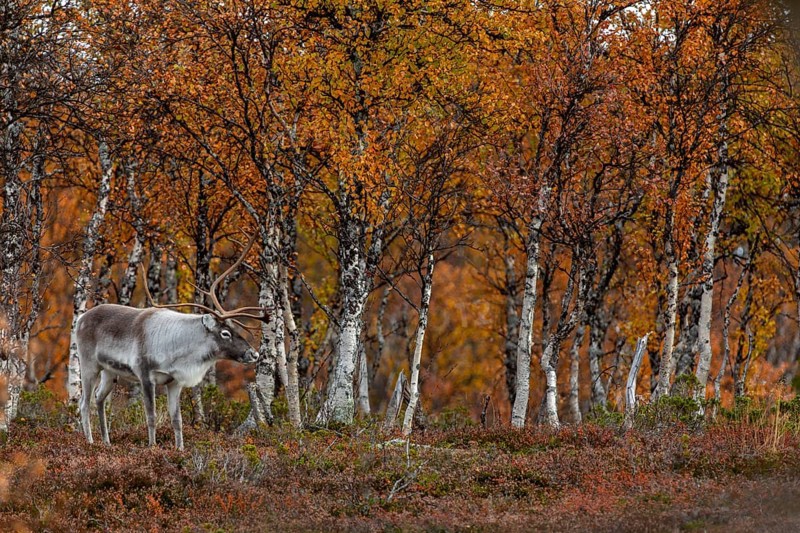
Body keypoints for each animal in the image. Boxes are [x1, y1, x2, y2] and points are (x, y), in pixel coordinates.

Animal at [75, 234, 265, 450]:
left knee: (99, 399)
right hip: (89, 365)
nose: (254, 353)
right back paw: (90, 441)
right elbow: (151, 416)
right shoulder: (145, 376)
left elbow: (177, 420)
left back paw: (106, 442)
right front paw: (152, 447)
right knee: (84, 403)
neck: (178, 349)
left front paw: (180, 449)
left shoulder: (174, 382)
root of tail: (80, 319)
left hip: (110, 372)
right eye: (225, 333)